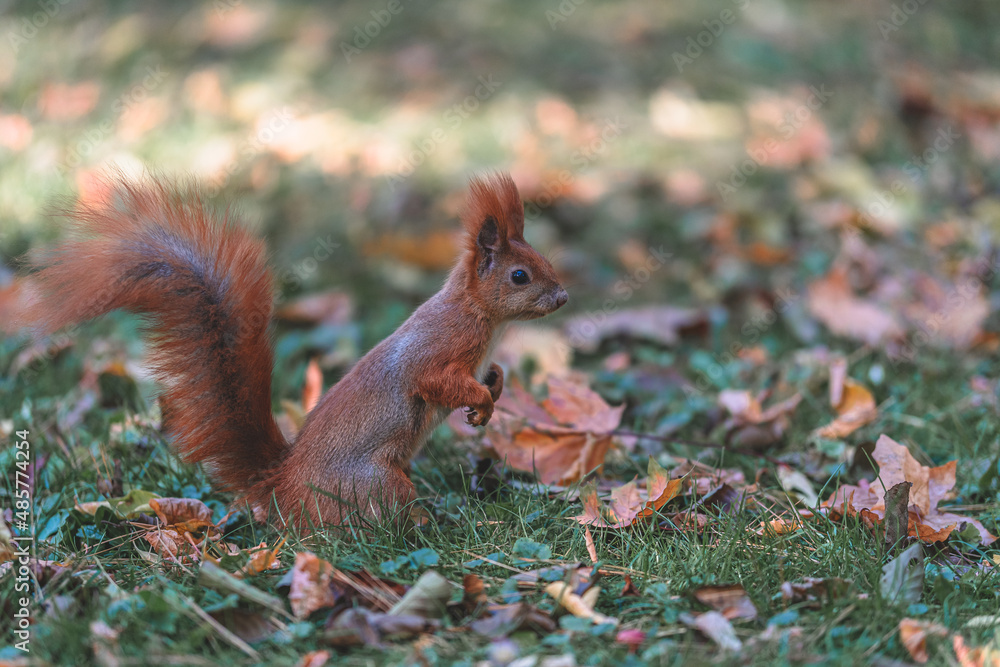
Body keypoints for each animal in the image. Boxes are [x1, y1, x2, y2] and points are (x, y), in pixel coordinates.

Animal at [22, 172, 568, 528]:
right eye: (520, 275)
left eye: (543, 259)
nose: (563, 297)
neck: (484, 318)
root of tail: (282, 486)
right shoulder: (442, 347)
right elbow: (433, 380)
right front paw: (480, 401)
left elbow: (489, 374)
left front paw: (493, 390)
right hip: (376, 483)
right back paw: (423, 525)